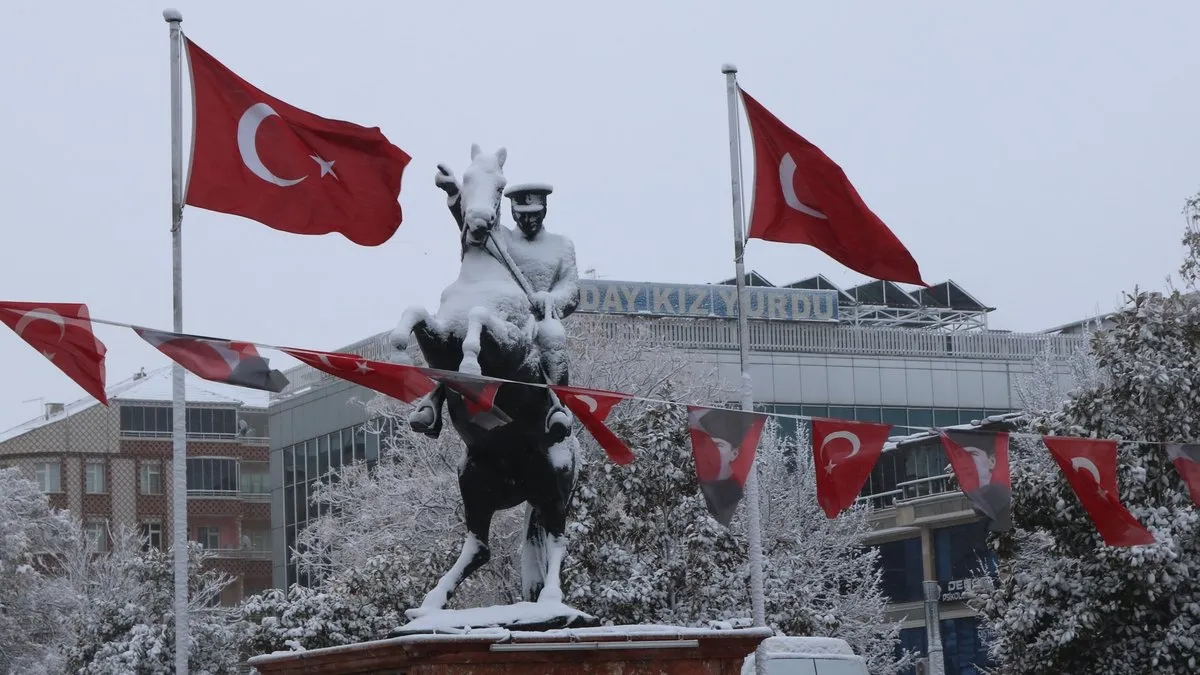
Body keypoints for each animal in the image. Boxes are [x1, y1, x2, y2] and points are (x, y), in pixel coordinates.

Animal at [391, 142, 583, 614]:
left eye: (500, 185)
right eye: (465, 178)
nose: (478, 224)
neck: (483, 275)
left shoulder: (512, 349)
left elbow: (482, 322)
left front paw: (472, 367)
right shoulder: (440, 338)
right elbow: (417, 314)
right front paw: (399, 346)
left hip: (554, 483)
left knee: (557, 540)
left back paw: (551, 600)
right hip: (475, 482)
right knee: (479, 546)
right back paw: (430, 603)